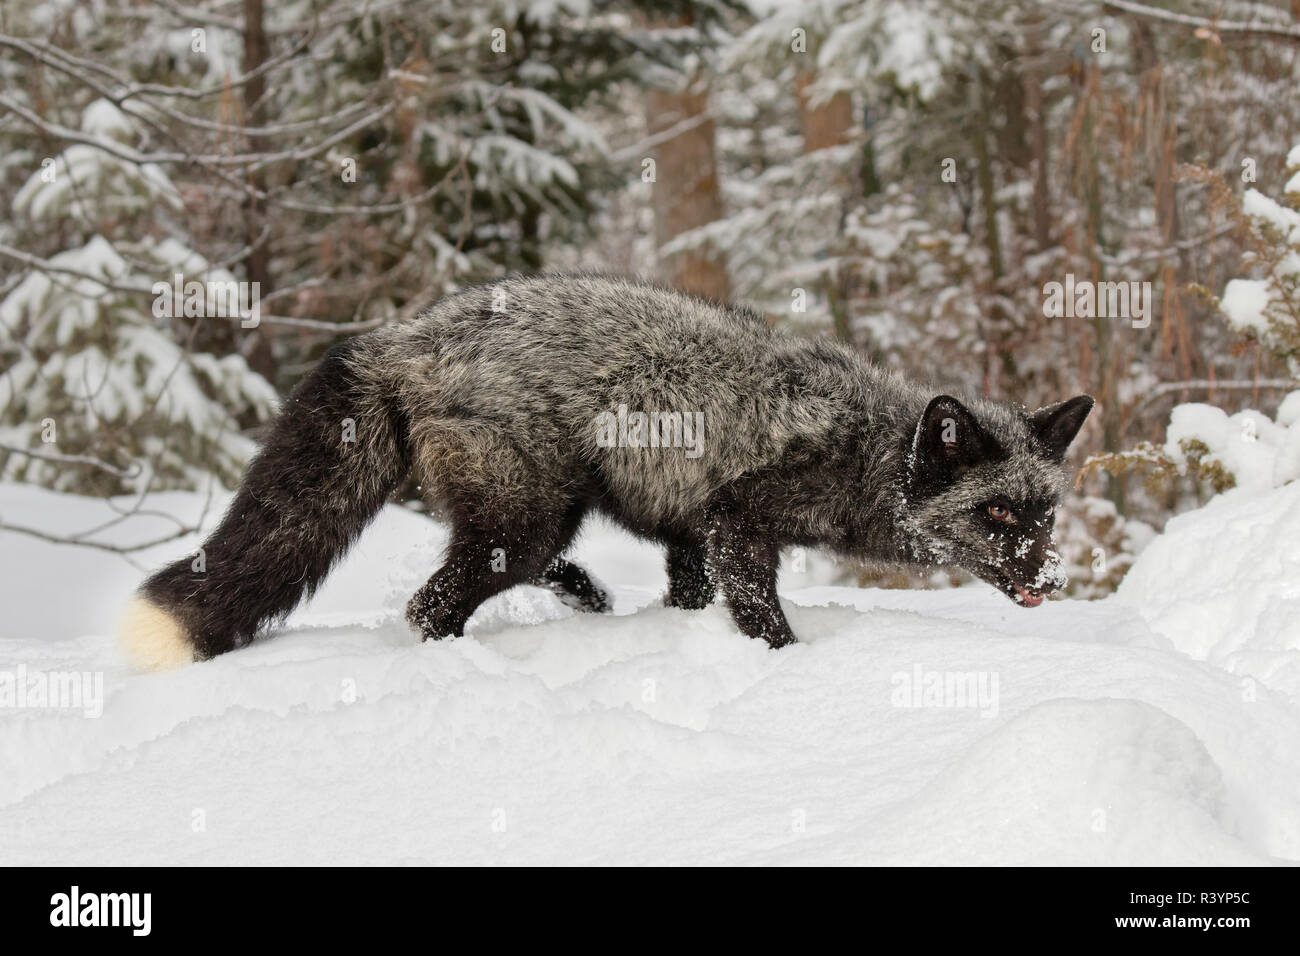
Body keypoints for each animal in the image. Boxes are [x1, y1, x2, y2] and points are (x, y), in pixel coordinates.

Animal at [119, 273, 1097, 671]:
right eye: (996, 516)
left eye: (1044, 514)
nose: (1054, 578)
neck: (866, 446)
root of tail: (399, 337)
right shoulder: (739, 520)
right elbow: (762, 616)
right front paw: (783, 670)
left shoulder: (688, 532)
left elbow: (690, 597)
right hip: (522, 520)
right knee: (428, 607)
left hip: (542, 511)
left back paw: (582, 594)